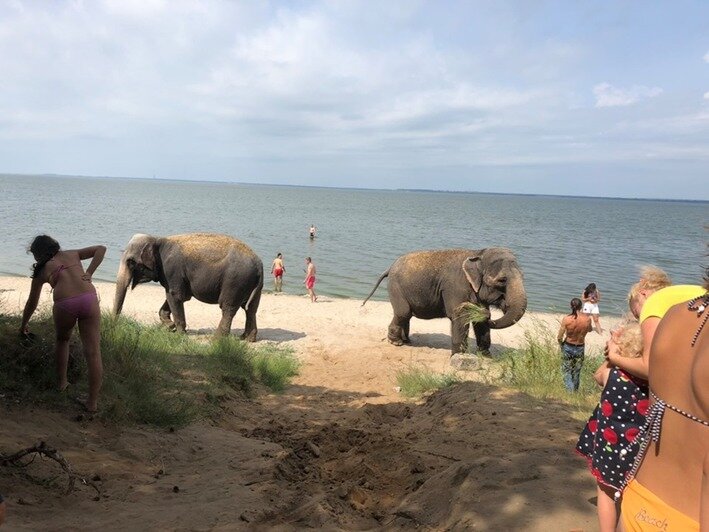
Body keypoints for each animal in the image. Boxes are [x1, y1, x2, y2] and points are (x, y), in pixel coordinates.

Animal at [113, 233, 262, 340]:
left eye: (130, 262)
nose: (115, 325)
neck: (157, 240)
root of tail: (259, 265)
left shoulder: (172, 270)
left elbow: (175, 296)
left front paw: (179, 333)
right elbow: (174, 296)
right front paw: (169, 326)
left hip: (235, 282)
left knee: (228, 308)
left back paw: (216, 339)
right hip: (251, 285)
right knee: (250, 308)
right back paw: (247, 338)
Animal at [362, 247, 524, 356]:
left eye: (523, 277)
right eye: (502, 280)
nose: (487, 314)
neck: (478, 253)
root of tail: (389, 268)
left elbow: (479, 322)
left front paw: (485, 356)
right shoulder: (455, 288)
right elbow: (460, 316)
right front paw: (458, 357)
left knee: (405, 315)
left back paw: (406, 341)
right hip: (396, 287)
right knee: (403, 313)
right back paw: (396, 343)